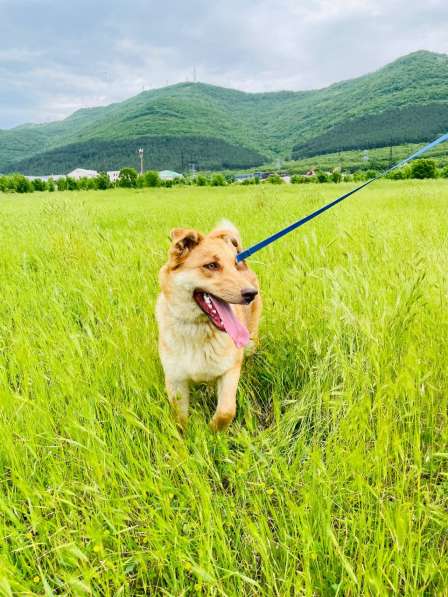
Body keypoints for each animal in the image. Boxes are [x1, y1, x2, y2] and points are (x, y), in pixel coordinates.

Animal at [157, 221, 262, 430]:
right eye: (211, 265)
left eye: (234, 266)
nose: (251, 293)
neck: (197, 329)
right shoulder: (175, 380)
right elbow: (180, 419)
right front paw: (188, 435)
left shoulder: (230, 371)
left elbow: (226, 411)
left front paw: (213, 431)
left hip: (251, 343)